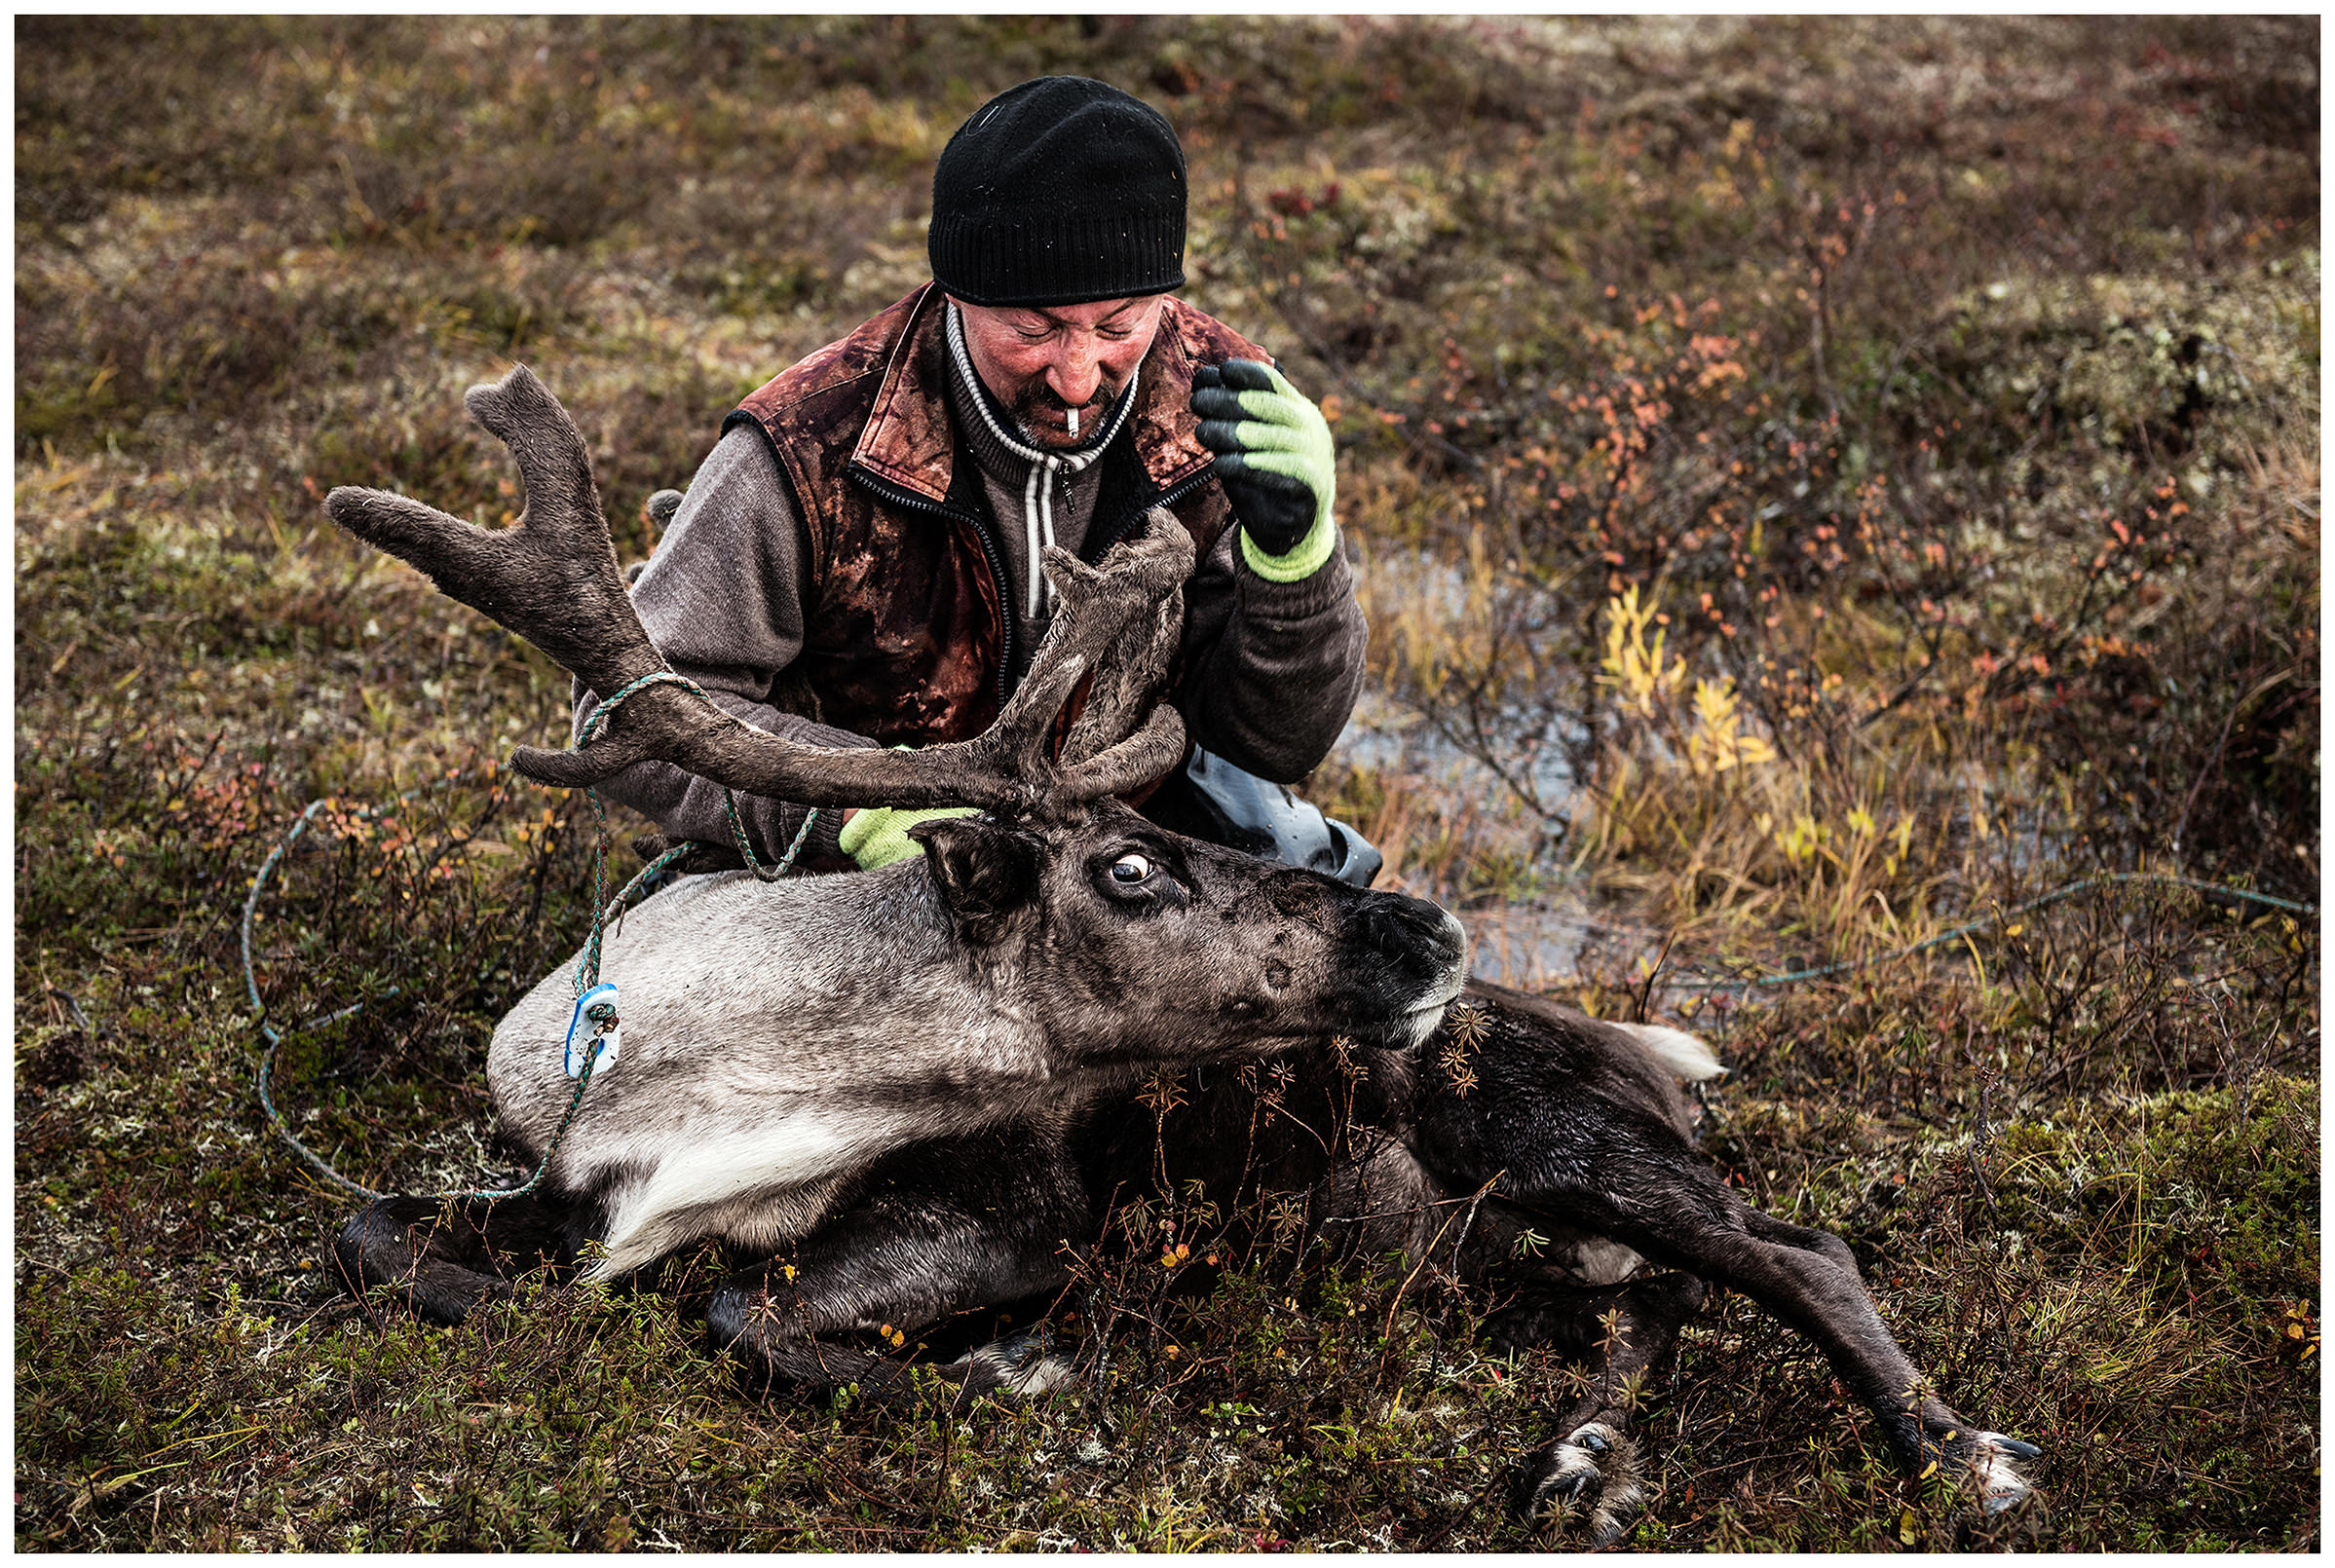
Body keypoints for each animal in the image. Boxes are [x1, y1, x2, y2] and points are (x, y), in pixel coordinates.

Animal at [319, 365, 2040, 1545]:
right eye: (1133, 866)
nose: (1429, 929)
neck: (723, 1080)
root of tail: (1642, 1043)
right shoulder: (556, 1191)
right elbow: (378, 1239)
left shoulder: (1019, 1214)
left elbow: (744, 1316)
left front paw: (1020, 1378)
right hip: (1487, 1252)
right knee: (1645, 1307)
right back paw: (1582, 1464)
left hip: (1541, 1138)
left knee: (1795, 1251)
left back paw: (1964, 1457)